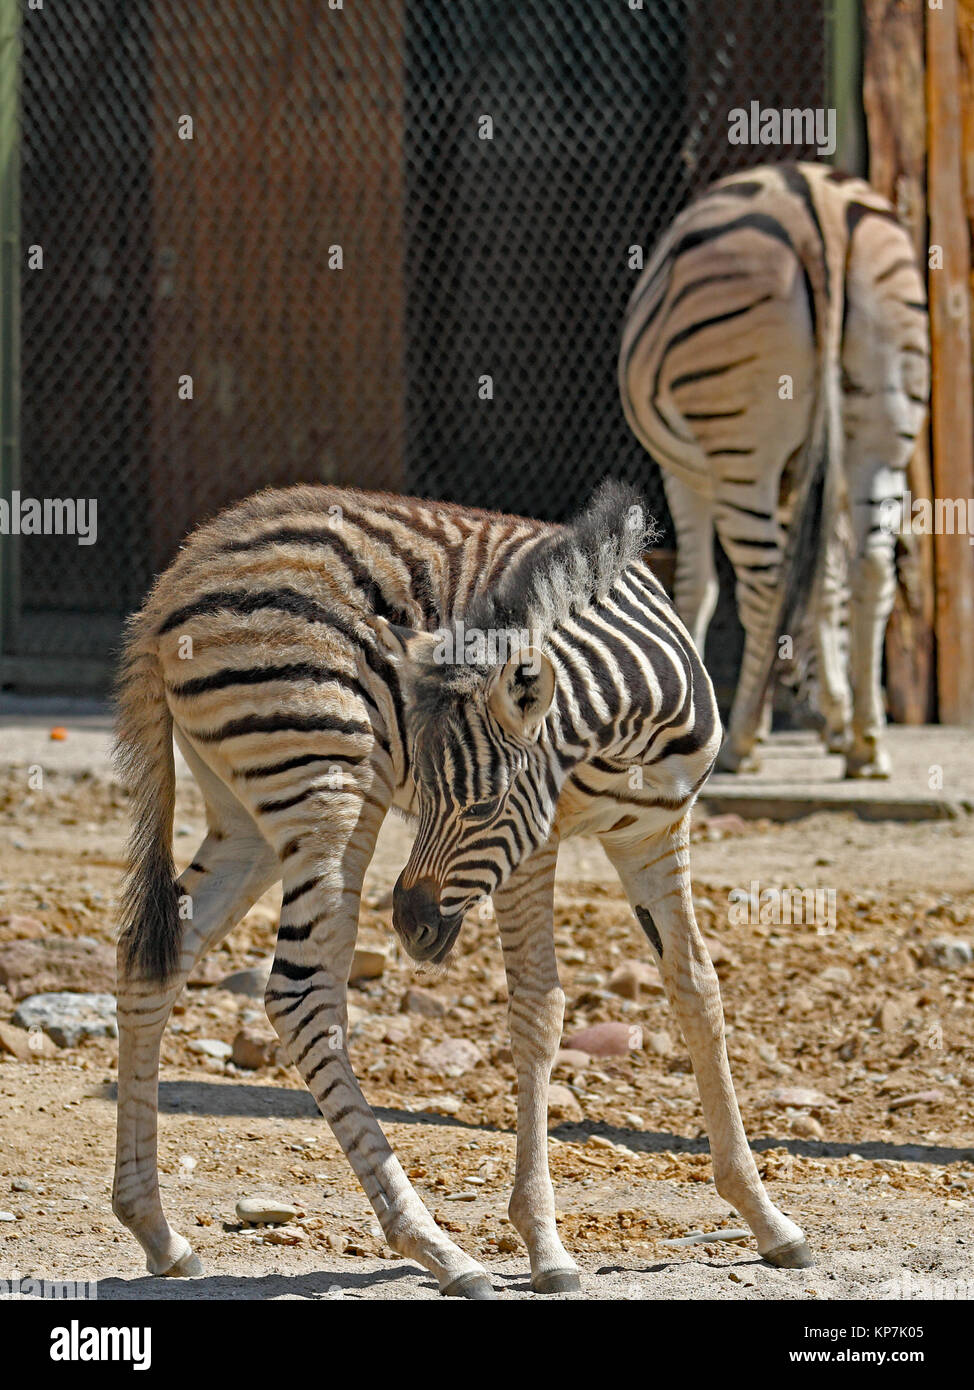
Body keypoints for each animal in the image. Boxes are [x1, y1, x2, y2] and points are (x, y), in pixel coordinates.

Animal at [111, 483, 811, 1295]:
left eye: (482, 806)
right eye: (433, 797)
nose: (410, 924)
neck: (628, 731)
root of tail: (183, 572)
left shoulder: (657, 832)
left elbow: (698, 990)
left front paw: (765, 1216)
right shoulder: (536, 845)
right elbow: (539, 1010)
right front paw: (545, 1246)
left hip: (243, 817)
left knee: (152, 963)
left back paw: (157, 1231)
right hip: (329, 785)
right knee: (300, 995)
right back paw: (437, 1248)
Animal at [614, 161, 928, 778]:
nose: (815, 717)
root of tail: (817, 203)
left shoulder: (686, 477)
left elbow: (697, 588)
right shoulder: (812, 487)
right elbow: (826, 582)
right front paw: (840, 717)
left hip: (740, 444)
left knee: (764, 582)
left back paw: (741, 741)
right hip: (885, 427)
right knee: (872, 567)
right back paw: (868, 746)